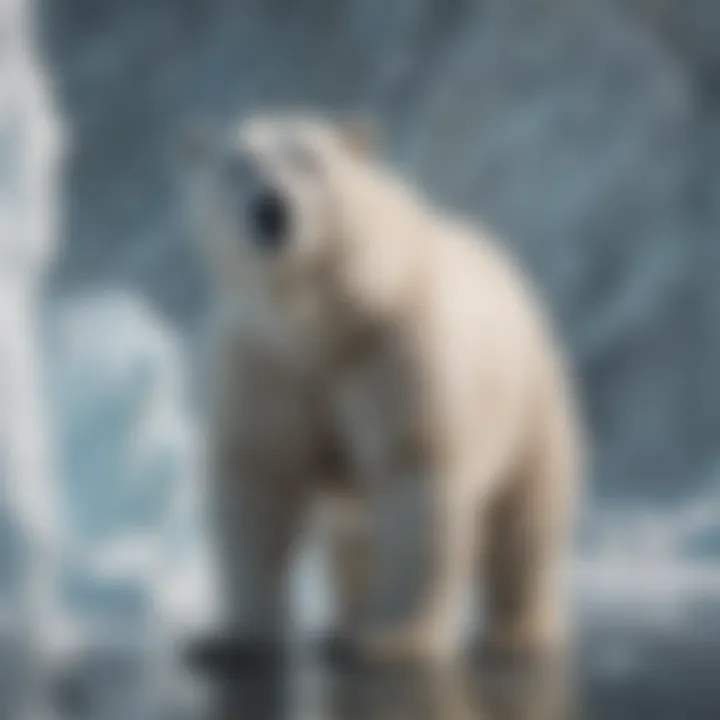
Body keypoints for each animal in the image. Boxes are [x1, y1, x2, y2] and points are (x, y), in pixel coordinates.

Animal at [181, 112, 584, 664]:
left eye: (310, 161)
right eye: (236, 166)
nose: (271, 209)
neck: (325, 323)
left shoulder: (394, 350)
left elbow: (414, 474)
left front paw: (396, 639)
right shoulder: (266, 366)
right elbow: (259, 483)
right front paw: (233, 637)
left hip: (526, 402)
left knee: (523, 522)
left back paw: (518, 632)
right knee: (354, 535)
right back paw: (344, 622)